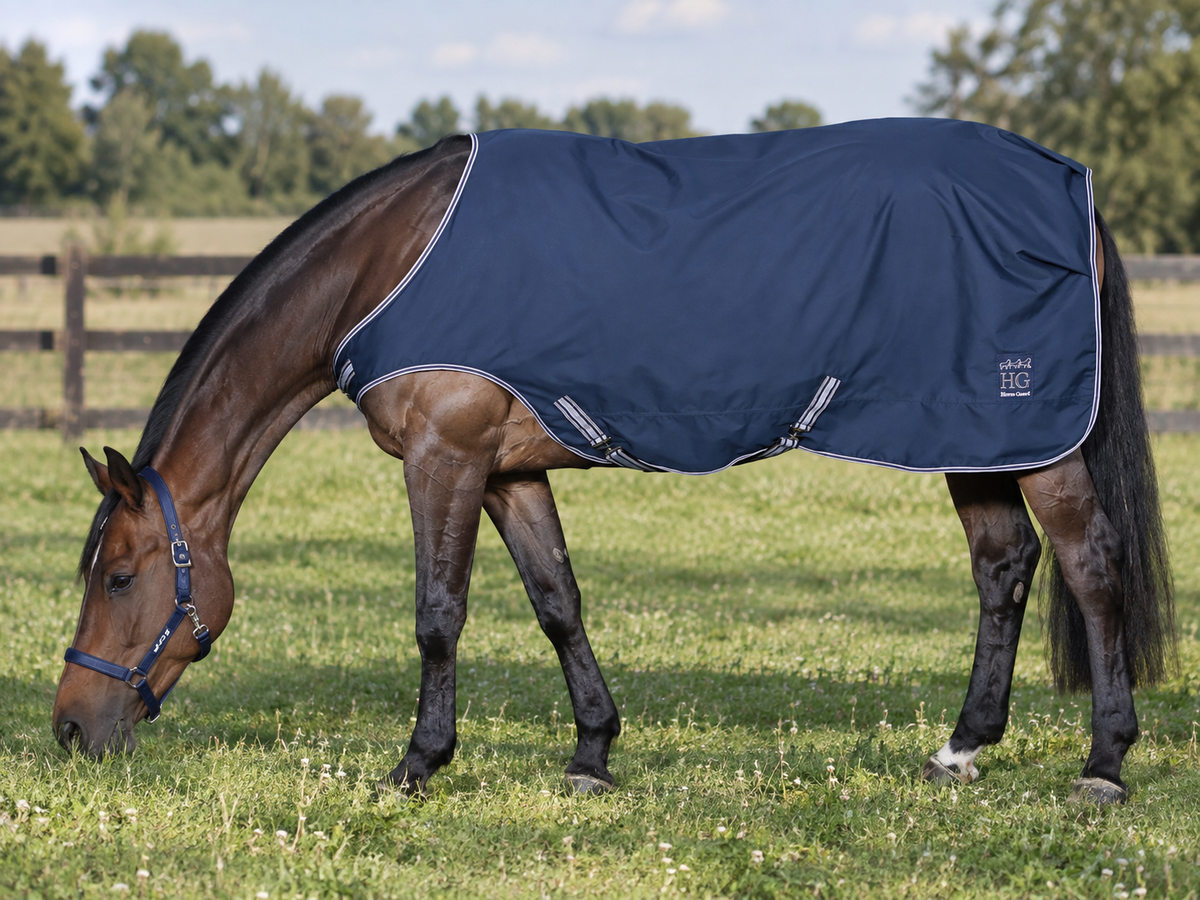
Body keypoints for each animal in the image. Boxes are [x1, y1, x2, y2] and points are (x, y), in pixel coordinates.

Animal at [52, 122, 1173, 806]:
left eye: (121, 577)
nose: (67, 730)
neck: (389, 265)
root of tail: (1068, 184)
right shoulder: (507, 471)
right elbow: (557, 602)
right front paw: (592, 752)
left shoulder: (444, 457)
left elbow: (437, 615)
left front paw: (418, 764)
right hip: (971, 439)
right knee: (1004, 566)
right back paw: (961, 748)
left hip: (1024, 438)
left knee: (1090, 567)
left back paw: (1105, 763)